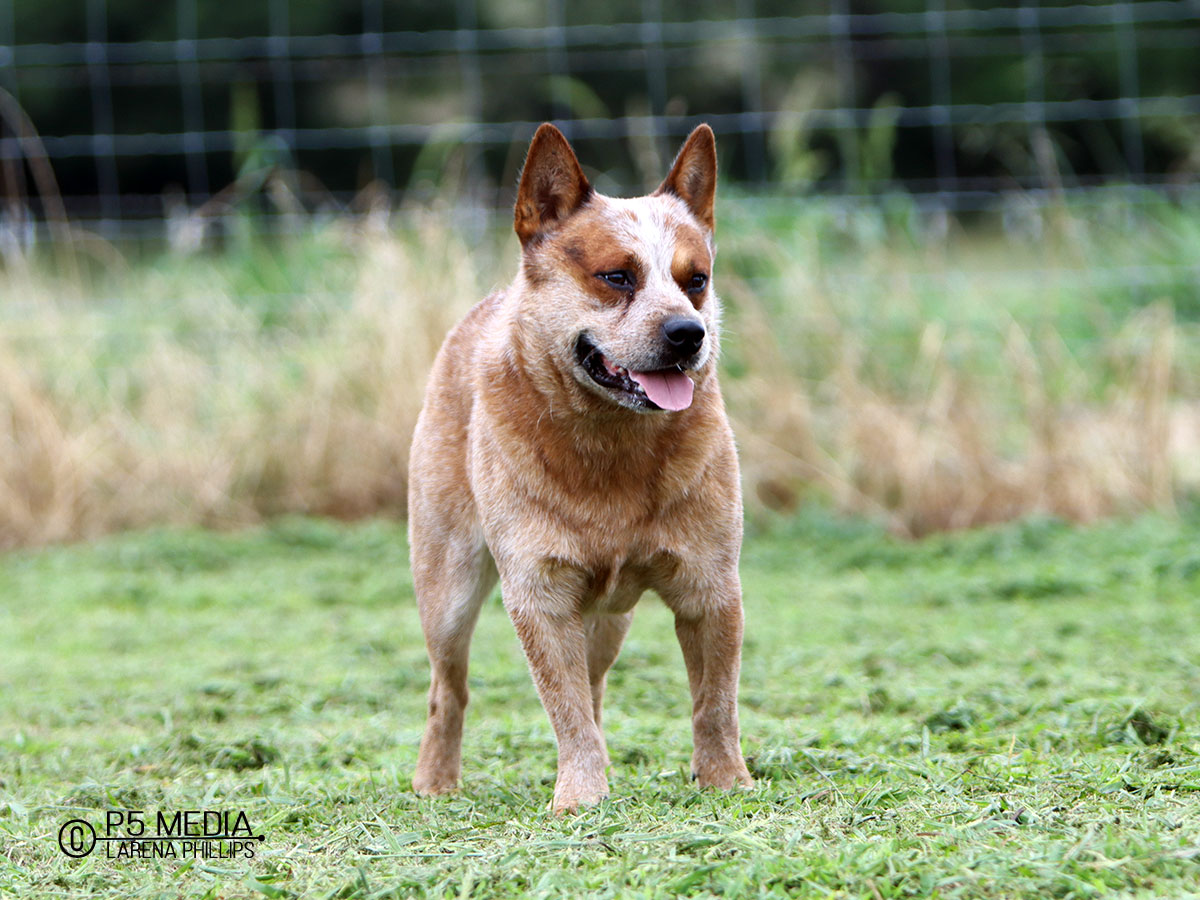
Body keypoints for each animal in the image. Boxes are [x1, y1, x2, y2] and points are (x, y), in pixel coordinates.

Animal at [408, 123, 753, 812]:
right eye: (617, 276)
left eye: (696, 279)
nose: (688, 333)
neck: (612, 448)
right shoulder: (540, 596)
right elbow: (564, 709)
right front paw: (581, 799)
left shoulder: (711, 588)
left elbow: (714, 704)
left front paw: (728, 783)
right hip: (447, 588)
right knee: (447, 688)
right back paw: (434, 782)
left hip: (609, 618)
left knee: (594, 686)